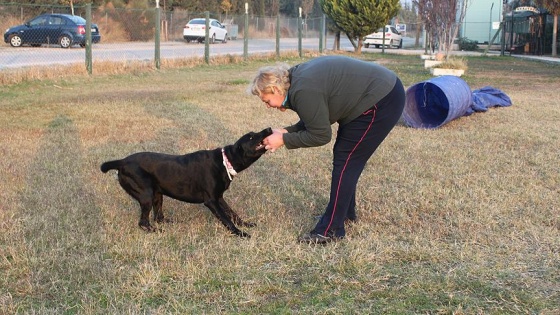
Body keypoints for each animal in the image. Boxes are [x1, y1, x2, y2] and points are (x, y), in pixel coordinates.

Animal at [102, 128, 274, 237]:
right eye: (251, 137)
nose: (269, 128)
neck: (225, 161)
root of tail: (122, 162)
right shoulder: (211, 201)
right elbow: (226, 219)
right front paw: (240, 233)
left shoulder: (219, 198)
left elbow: (232, 213)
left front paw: (245, 224)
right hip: (146, 195)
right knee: (143, 222)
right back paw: (155, 231)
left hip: (157, 194)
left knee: (159, 217)